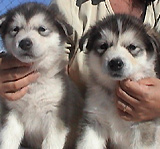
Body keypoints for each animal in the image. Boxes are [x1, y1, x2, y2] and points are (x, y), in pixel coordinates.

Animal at [0, 2, 82, 149]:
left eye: (42, 29)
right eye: (15, 29)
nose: (25, 43)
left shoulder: (56, 117)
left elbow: (51, 143)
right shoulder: (13, 113)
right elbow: (8, 140)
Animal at [76, 14, 160, 149]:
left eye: (132, 47)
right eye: (103, 46)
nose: (115, 63)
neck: (114, 88)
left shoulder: (143, 125)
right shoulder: (94, 120)